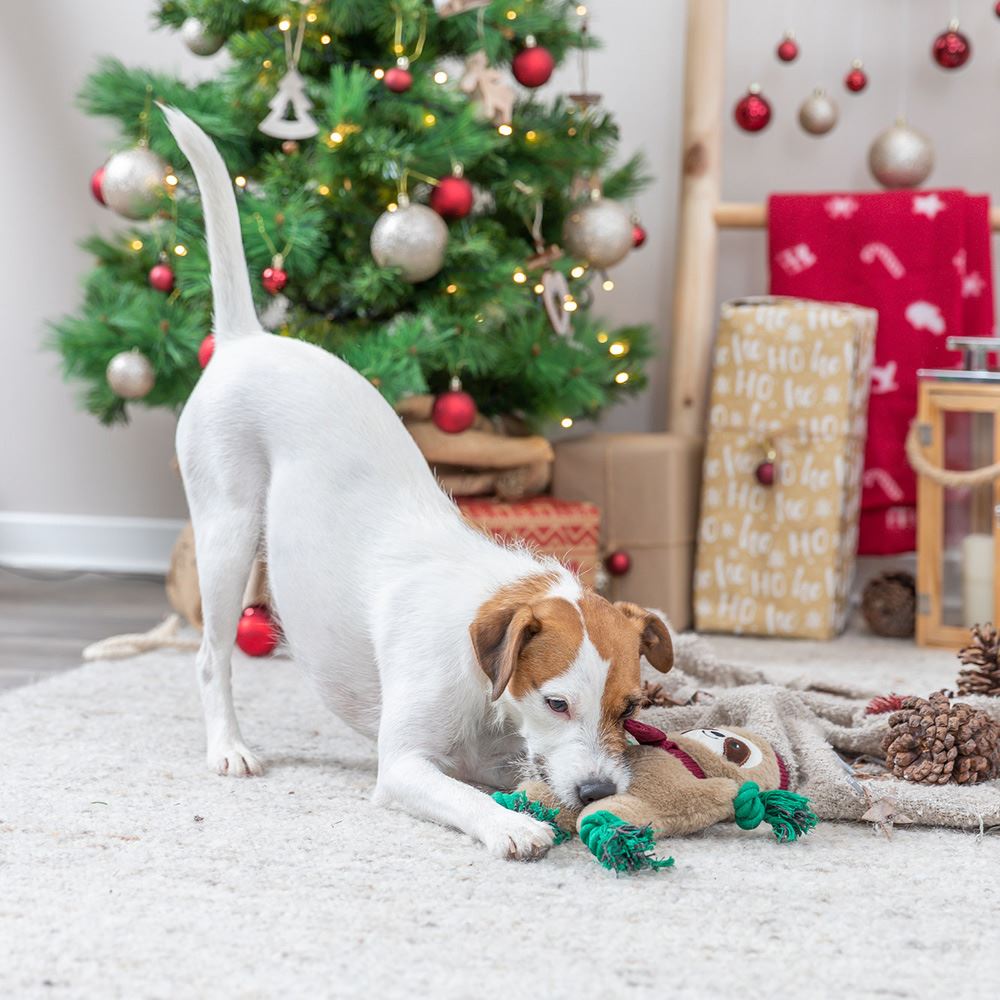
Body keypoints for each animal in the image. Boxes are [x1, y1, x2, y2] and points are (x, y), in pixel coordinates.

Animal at [162, 109, 672, 860]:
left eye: (631, 705)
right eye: (556, 702)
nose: (598, 792)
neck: (481, 675)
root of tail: (244, 340)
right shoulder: (404, 765)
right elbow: (463, 796)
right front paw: (514, 824)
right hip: (225, 534)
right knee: (209, 657)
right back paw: (228, 745)